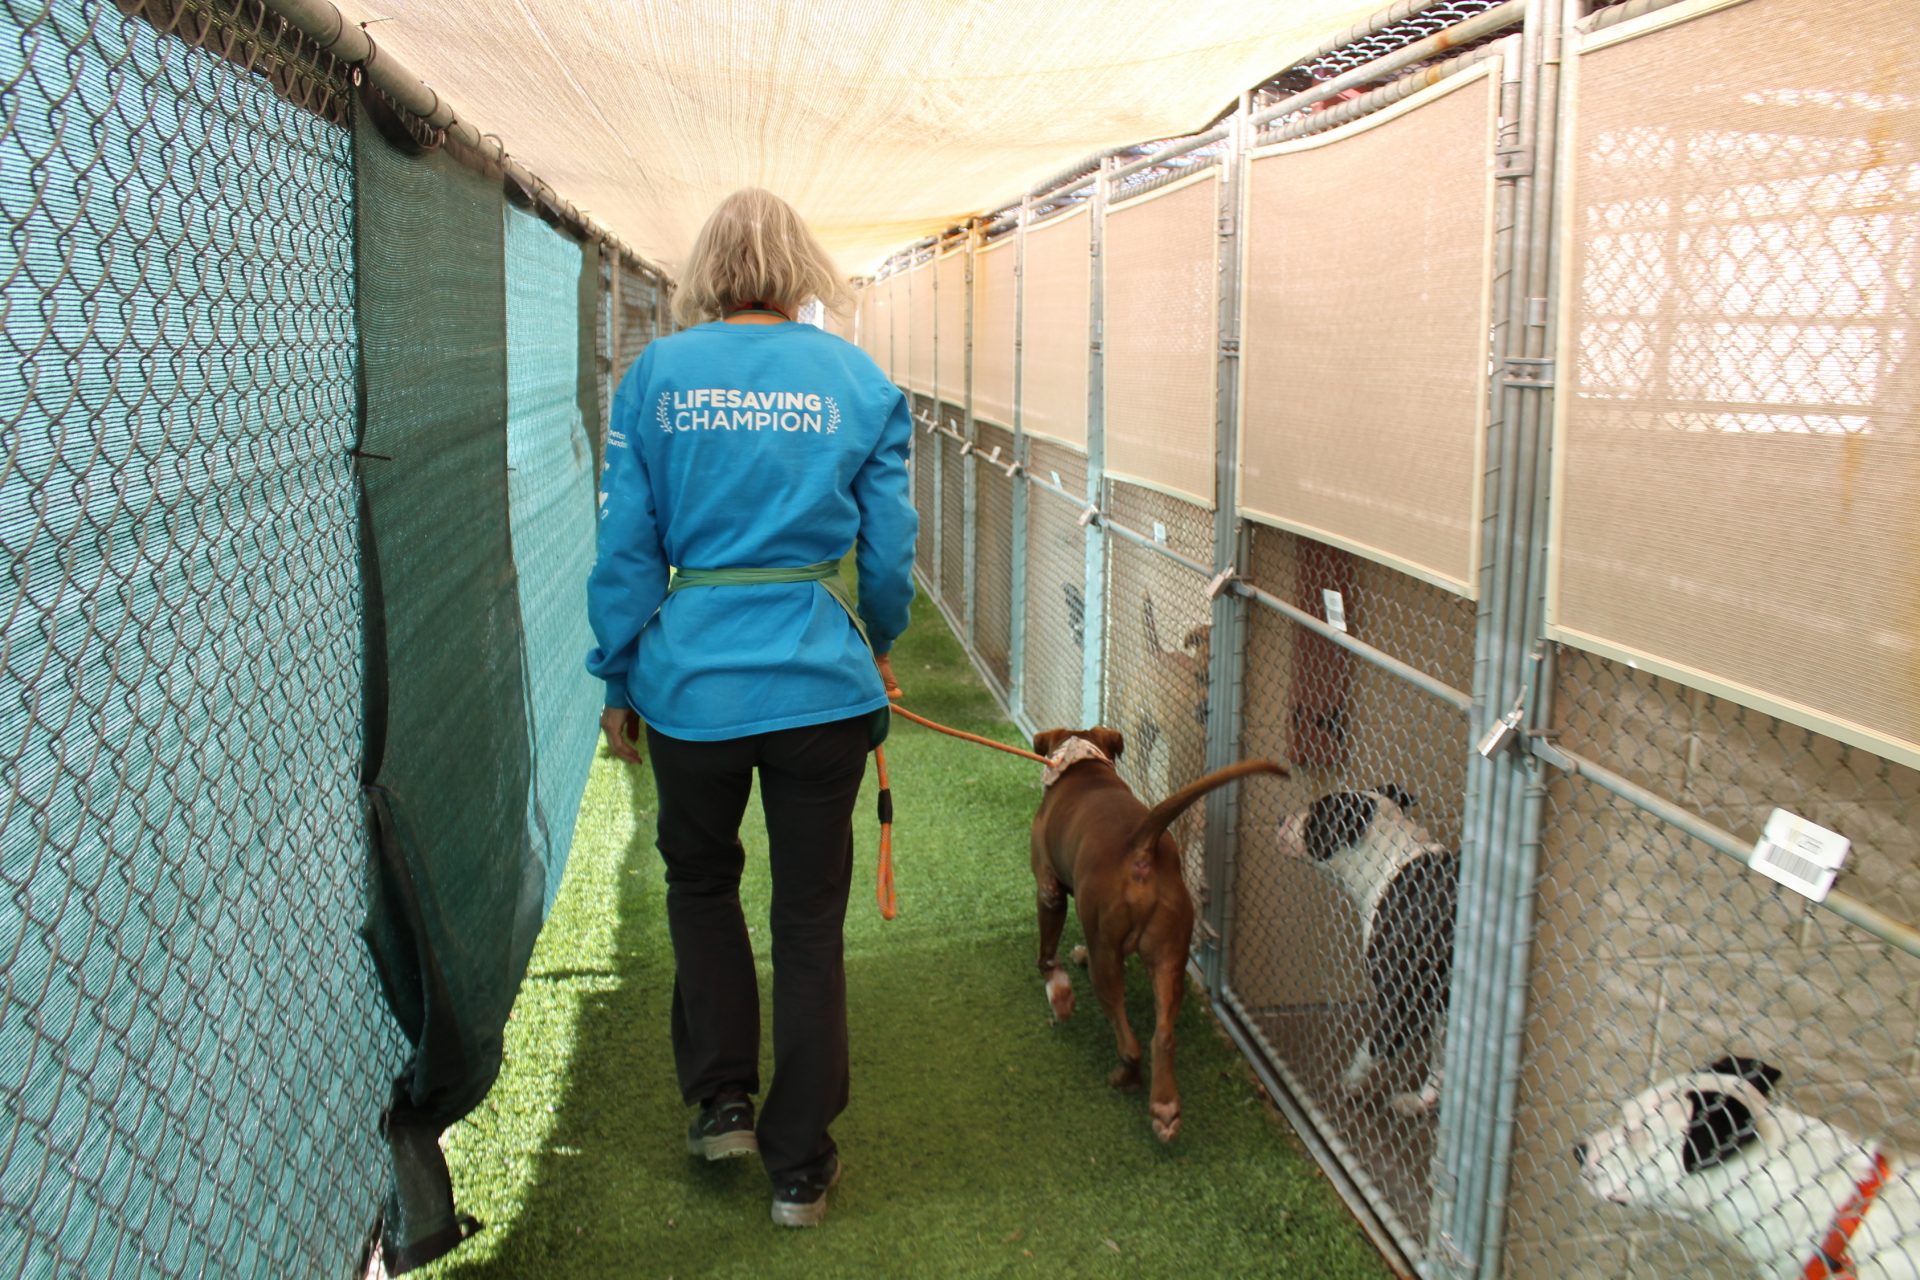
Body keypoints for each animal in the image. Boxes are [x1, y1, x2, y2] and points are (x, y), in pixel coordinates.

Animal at [1029, 725, 1282, 1143]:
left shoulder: (1048, 888)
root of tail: (1140, 846)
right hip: (1169, 958)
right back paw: (1165, 1107)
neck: (1082, 765)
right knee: (1162, 1036)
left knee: (1128, 1037)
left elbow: (1047, 954)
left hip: (1108, 958)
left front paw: (1060, 994)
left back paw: (1126, 1077)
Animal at [1274, 782, 1451, 1113]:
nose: (1281, 818)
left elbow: (1374, 1046)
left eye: (1315, 813)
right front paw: (1425, 1098)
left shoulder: (1405, 1000)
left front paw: (1350, 1082)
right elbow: (1441, 1053)